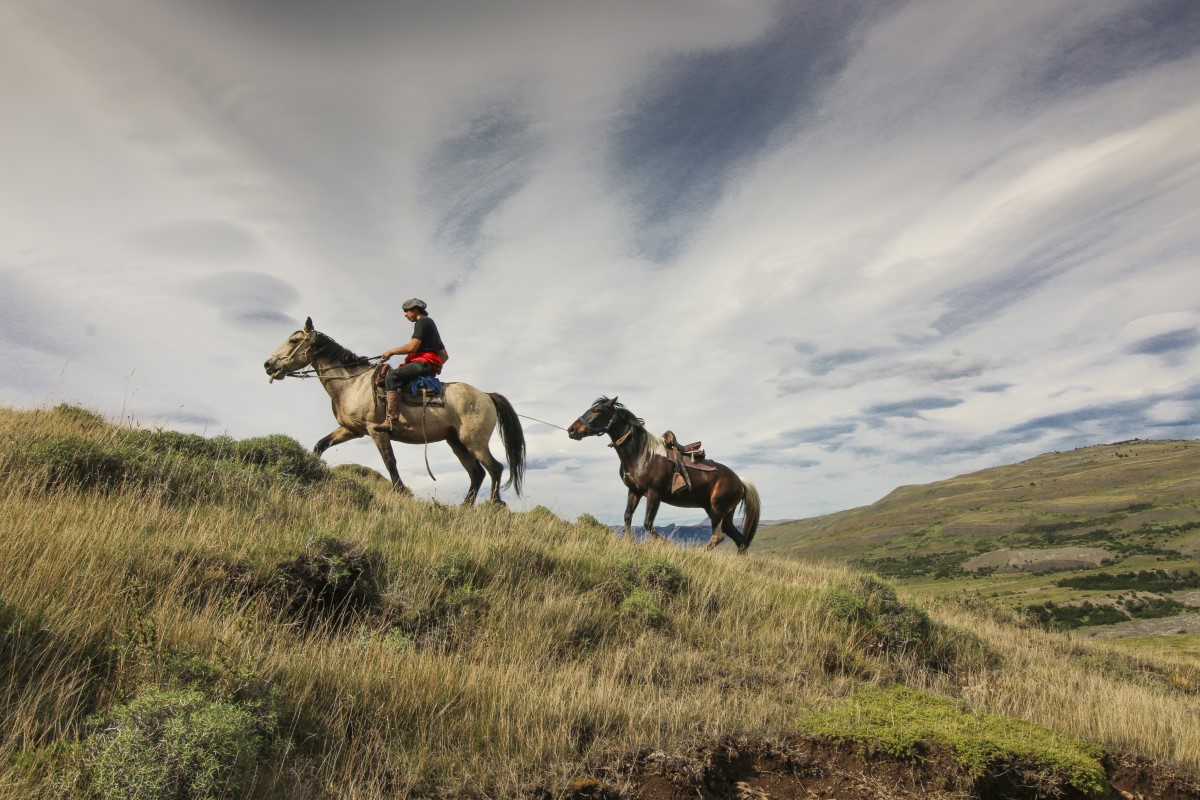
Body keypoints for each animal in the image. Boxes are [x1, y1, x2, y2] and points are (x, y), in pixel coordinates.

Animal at [262, 316, 525, 503]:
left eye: (293, 341)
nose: (268, 365)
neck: (352, 383)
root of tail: (486, 396)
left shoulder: (376, 431)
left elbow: (390, 461)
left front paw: (401, 492)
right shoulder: (351, 430)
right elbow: (320, 445)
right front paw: (311, 469)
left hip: (474, 441)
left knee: (495, 468)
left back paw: (494, 505)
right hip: (456, 442)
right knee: (476, 473)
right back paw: (465, 507)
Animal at [568, 395, 758, 556]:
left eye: (597, 410)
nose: (572, 430)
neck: (641, 454)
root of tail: (740, 481)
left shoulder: (654, 494)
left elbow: (647, 523)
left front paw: (667, 545)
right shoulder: (634, 491)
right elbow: (627, 517)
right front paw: (630, 543)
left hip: (717, 510)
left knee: (718, 536)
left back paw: (696, 554)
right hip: (723, 514)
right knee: (740, 541)